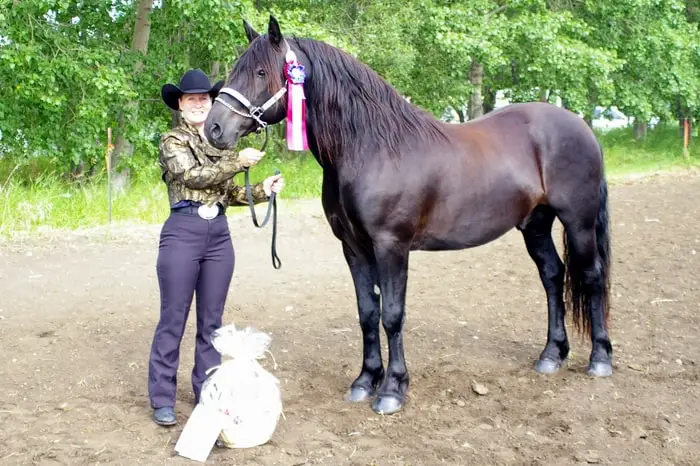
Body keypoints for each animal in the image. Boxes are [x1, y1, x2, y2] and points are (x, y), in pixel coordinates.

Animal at [204, 16, 613, 415]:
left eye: (260, 72)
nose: (214, 128)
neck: (372, 148)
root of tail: (581, 127)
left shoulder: (391, 246)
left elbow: (392, 315)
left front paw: (392, 390)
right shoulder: (353, 248)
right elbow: (368, 313)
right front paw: (365, 381)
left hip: (578, 221)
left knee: (591, 276)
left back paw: (600, 359)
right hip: (536, 224)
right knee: (552, 275)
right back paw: (551, 355)